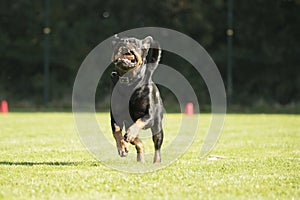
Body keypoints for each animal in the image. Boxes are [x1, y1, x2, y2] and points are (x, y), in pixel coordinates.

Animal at [109, 35, 163, 163]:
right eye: (119, 42)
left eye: (134, 42)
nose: (125, 42)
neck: (129, 83)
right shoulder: (116, 115)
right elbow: (117, 131)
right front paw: (122, 147)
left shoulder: (149, 115)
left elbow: (139, 121)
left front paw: (130, 134)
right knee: (139, 143)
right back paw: (140, 158)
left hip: (157, 125)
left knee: (157, 144)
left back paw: (157, 161)